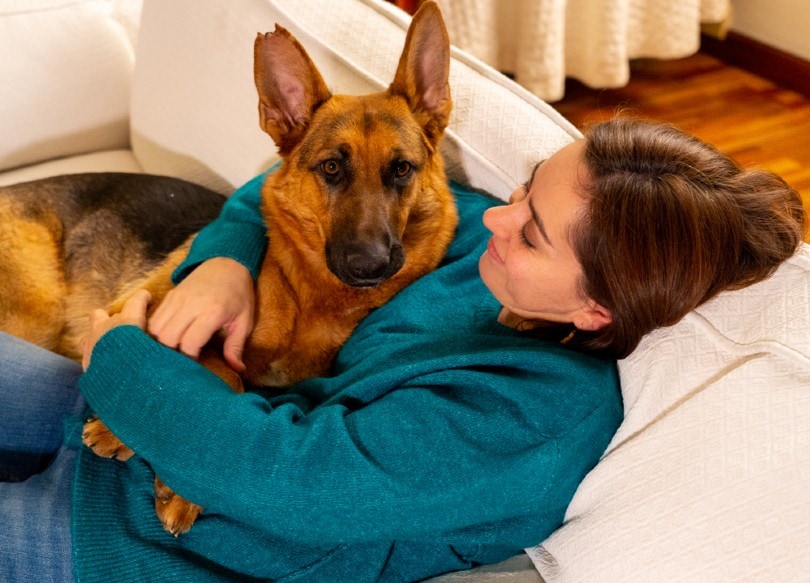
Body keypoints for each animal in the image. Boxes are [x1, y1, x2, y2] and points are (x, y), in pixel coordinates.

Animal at [0, 2, 454, 536]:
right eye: (331, 168)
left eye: (401, 169)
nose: (369, 265)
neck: (308, 296)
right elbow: (218, 376)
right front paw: (119, 433)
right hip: (33, 314)